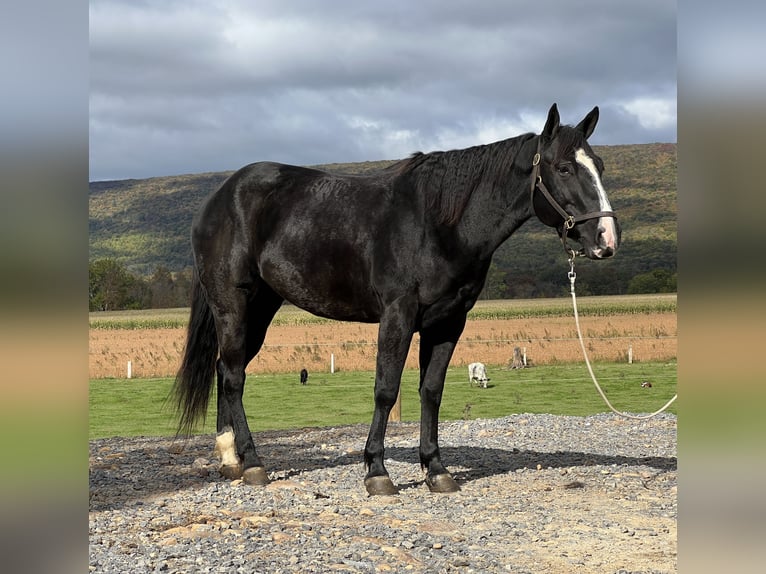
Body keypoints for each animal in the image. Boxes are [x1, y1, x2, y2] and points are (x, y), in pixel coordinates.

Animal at [172, 103, 616, 496]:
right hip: (233, 305)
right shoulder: (398, 315)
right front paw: (377, 472)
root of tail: (219, 196)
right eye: (563, 168)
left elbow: (431, 392)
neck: (438, 224)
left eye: (599, 165)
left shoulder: (448, 322)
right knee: (233, 376)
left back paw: (231, 459)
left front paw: (436, 470)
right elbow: (386, 390)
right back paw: (253, 463)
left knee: (225, 369)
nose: (607, 239)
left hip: (261, 309)